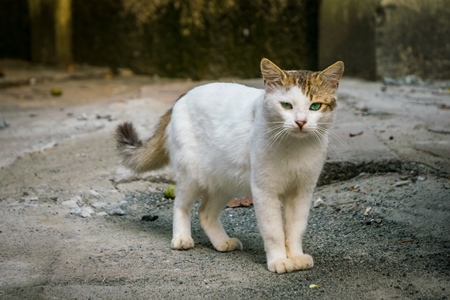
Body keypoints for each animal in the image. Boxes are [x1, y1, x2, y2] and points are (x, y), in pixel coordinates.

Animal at [116, 57, 344, 274]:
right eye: (286, 105)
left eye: (315, 106)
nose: (301, 122)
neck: (296, 146)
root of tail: (182, 96)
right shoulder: (264, 191)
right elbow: (274, 232)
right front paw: (279, 260)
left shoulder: (302, 192)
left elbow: (295, 229)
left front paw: (295, 256)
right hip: (192, 176)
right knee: (181, 205)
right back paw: (181, 238)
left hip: (225, 180)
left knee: (205, 213)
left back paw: (222, 242)